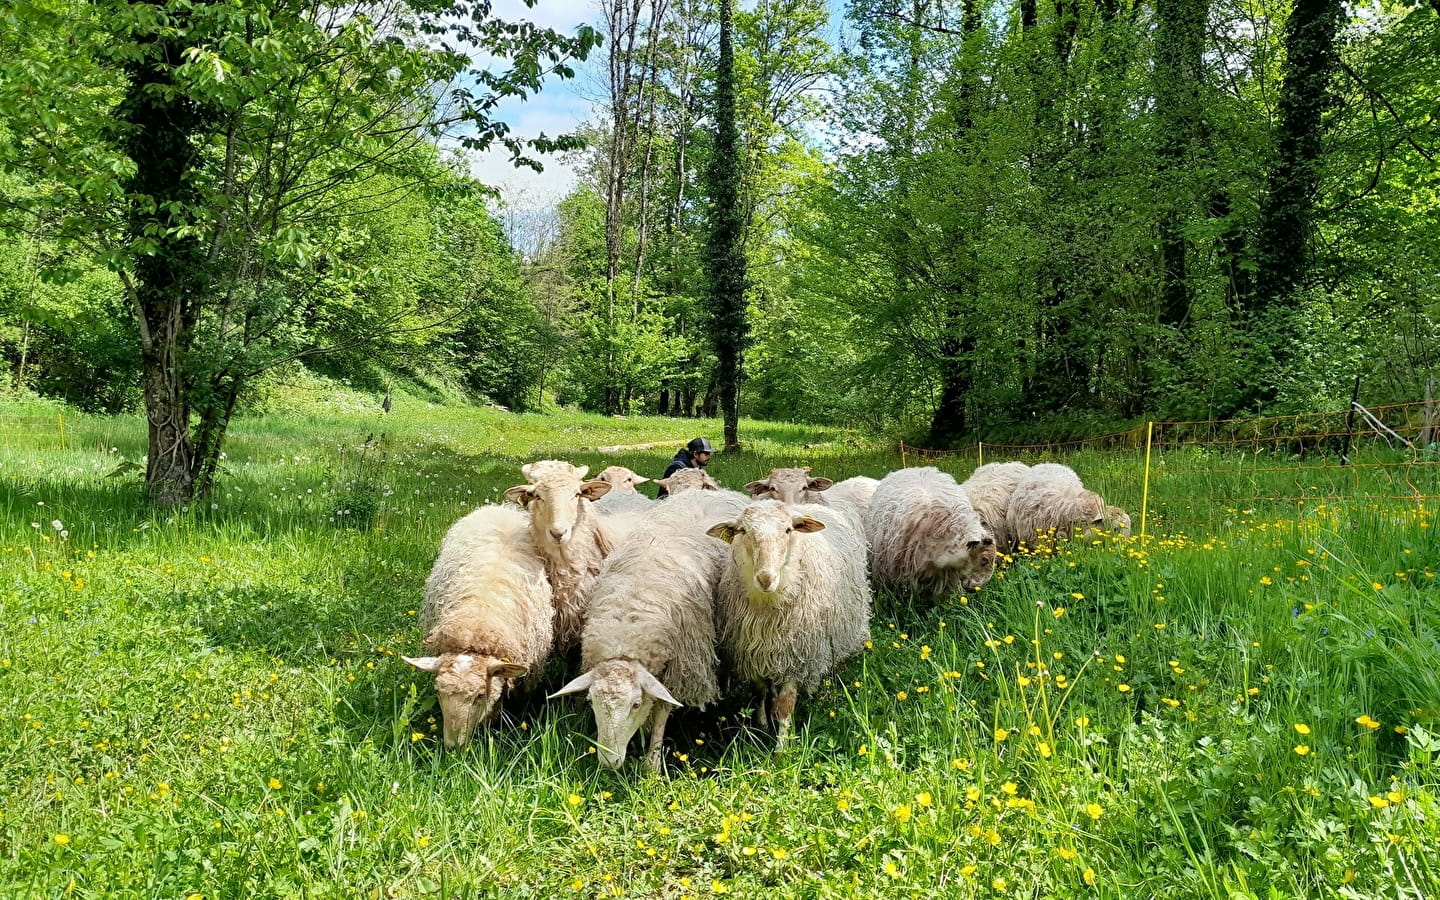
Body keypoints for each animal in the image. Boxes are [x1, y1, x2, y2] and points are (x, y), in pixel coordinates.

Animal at [544, 486, 748, 766]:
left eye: (635, 704)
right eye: (592, 702)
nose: (609, 762)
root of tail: (714, 492)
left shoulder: (679, 666)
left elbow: (663, 710)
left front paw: (652, 763)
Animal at [705, 501, 869, 748]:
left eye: (788, 530)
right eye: (743, 531)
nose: (766, 579)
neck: (768, 609)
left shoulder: (796, 658)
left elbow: (785, 707)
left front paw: (781, 749)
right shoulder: (753, 654)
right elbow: (759, 692)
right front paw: (762, 725)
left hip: (846, 629)